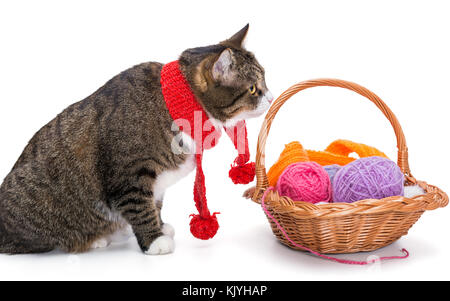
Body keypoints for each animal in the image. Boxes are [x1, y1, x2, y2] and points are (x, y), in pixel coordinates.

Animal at [0, 24, 272, 253]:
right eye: (252, 88)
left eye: (265, 81)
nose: (270, 98)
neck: (177, 106)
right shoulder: (130, 174)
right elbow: (140, 207)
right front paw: (154, 240)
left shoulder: (157, 182)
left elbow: (155, 204)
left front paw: (160, 226)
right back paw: (95, 239)